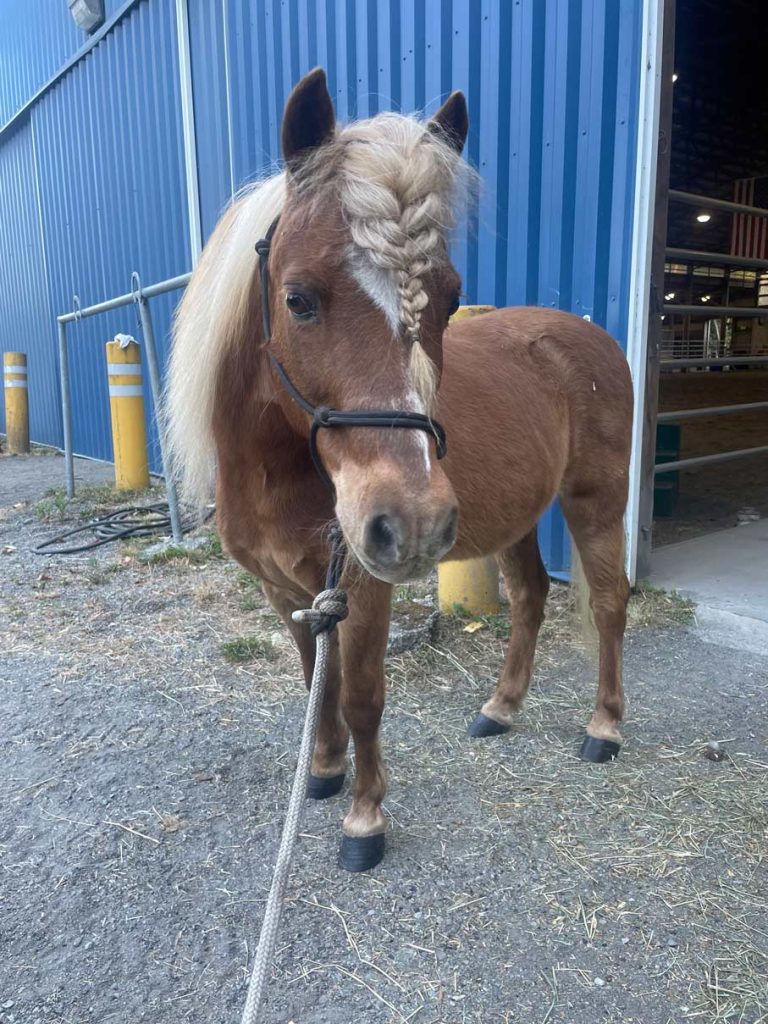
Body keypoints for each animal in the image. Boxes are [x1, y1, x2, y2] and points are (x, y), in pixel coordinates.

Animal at [166, 68, 630, 872]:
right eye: (298, 298)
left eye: (450, 297)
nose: (410, 523)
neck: (278, 475)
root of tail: (588, 336)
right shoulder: (286, 591)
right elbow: (312, 684)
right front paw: (322, 773)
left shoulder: (359, 587)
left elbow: (360, 697)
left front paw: (364, 820)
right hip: (518, 517)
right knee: (532, 597)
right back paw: (500, 709)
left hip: (595, 501)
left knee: (607, 602)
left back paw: (602, 727)